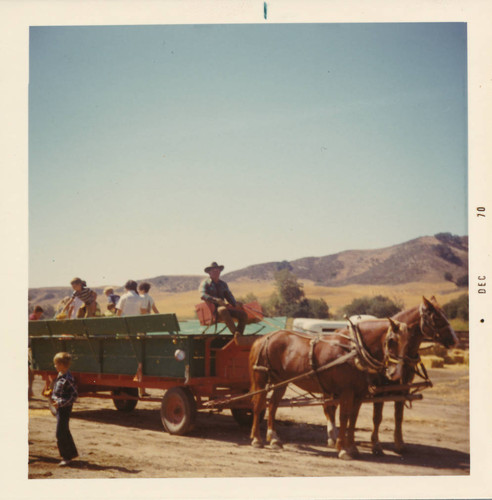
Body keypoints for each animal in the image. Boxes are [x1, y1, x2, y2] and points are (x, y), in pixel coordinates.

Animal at [248, 316, 410, 460]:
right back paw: (257, 439)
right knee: (258, 405)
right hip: (261, 379)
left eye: (407, 343)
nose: (395, 373)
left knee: (272, 405)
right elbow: (344, 417)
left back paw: (274, 438)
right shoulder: (346, 391)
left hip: (280, 382)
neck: (354, 352)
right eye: (391, 340)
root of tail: (264, 338)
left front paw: (353, 447)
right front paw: (342, 449)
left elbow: (353, 418)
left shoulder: (359, 394)